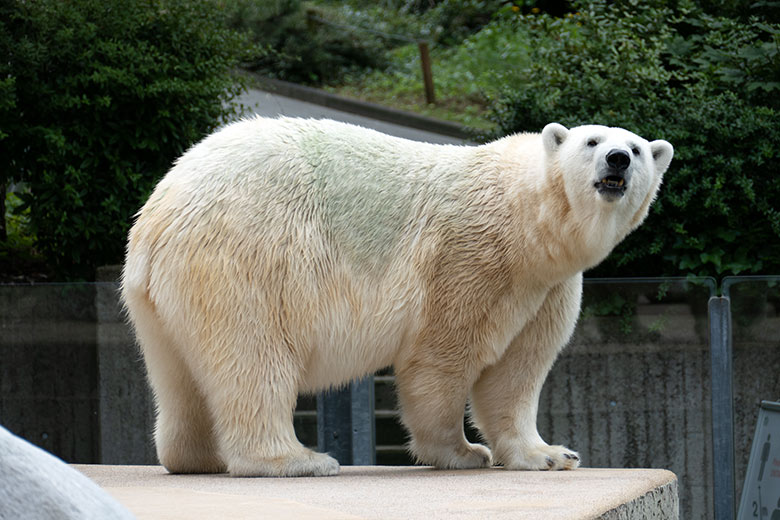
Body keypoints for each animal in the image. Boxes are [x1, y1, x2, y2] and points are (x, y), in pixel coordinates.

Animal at [120, 118, 672, 476]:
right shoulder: (470, 258)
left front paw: (553, 454)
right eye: (592, 141)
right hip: (248, 257)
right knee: (254, 358)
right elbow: (442, 358)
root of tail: (159, 214)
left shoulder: (547, 286)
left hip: (158, 302)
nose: (617, 160)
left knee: (178, 376)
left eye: (636, 148)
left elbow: (518, 370)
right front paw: (463, 452)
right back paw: (297, 460)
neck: (526, 220)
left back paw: (196, 458)